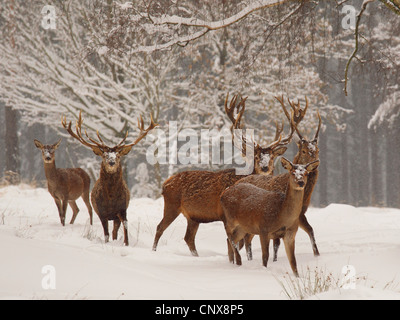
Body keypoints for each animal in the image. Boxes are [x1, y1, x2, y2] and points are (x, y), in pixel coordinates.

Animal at [61, 111, 157, 246]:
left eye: (118, 156)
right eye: (104, 155)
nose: (111, 162)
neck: (111, 199)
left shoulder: (122, 210)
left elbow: (125, 231)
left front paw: (126, 244)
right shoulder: (102, 213)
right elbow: (106, 234)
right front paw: (107, 244)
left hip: (116, 217)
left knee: (114, 232)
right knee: (111, 232)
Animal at [152, 94, 298, 256]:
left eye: (272, 157)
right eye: (256, 156)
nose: (265, 167)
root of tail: (165, 184)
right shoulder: (226, 216)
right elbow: (236, 242)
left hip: (193, 216)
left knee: (188, 238)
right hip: (171, 205)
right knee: (160, 228)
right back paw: (154, 251)